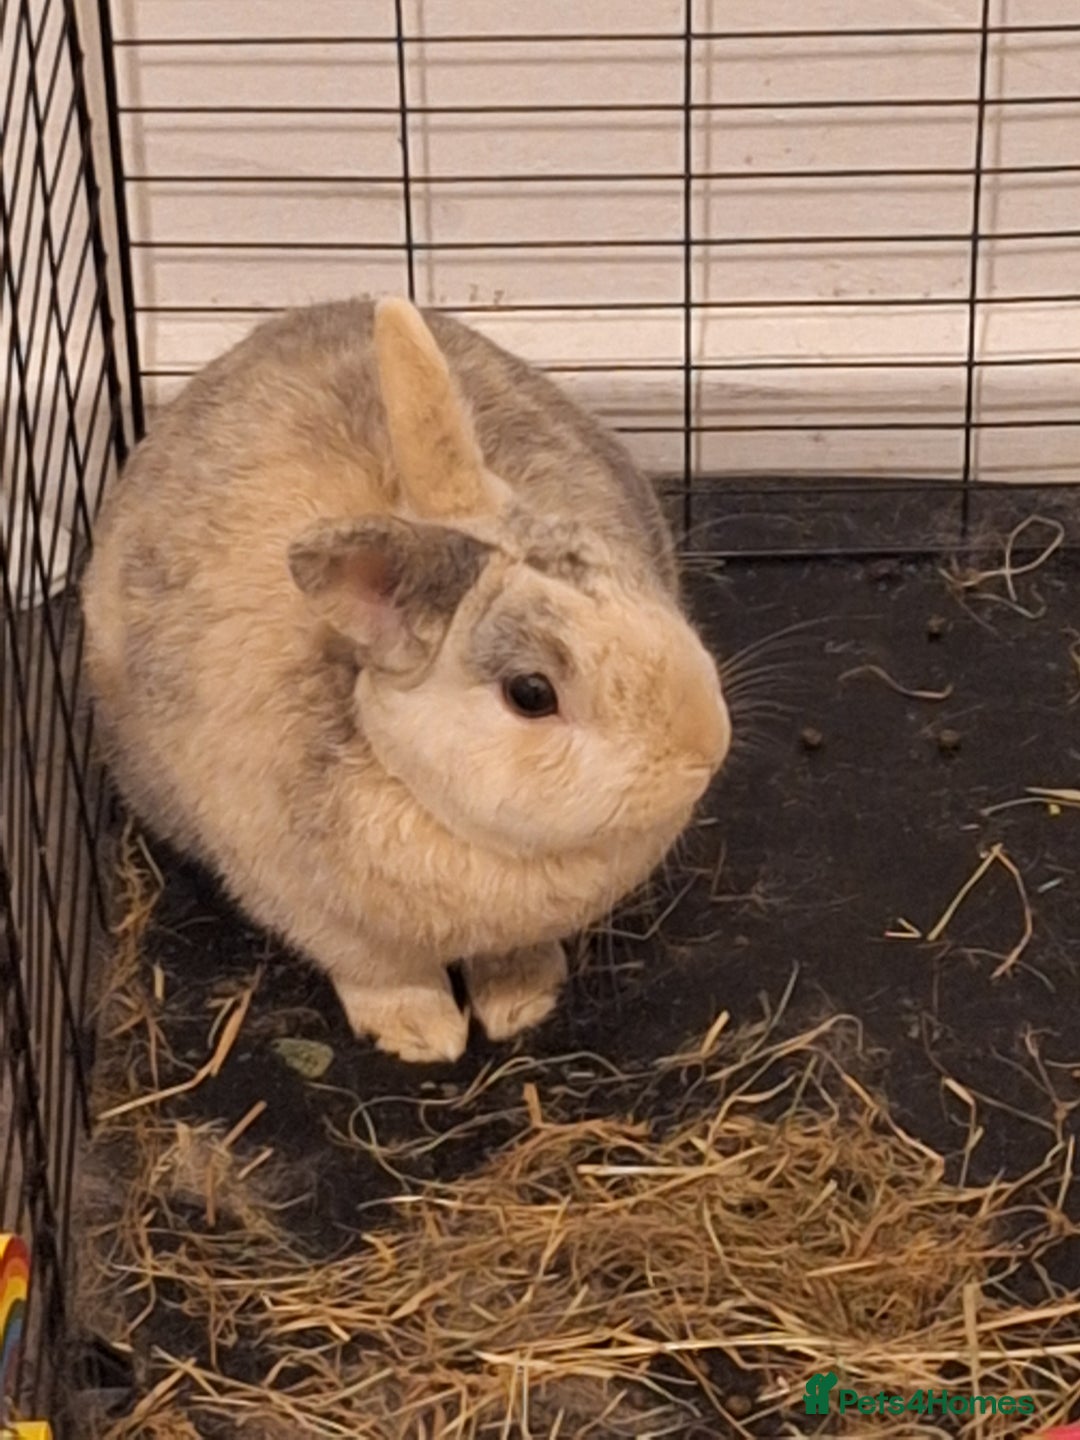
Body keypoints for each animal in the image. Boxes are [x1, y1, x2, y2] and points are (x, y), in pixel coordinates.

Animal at [82, 297, 731, 1062]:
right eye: (531, 693)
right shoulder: (322, 916)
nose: (705, 748)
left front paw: (523, 1002)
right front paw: (422, 1035)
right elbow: (385, 975)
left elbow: (514, 957)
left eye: (627, 577)